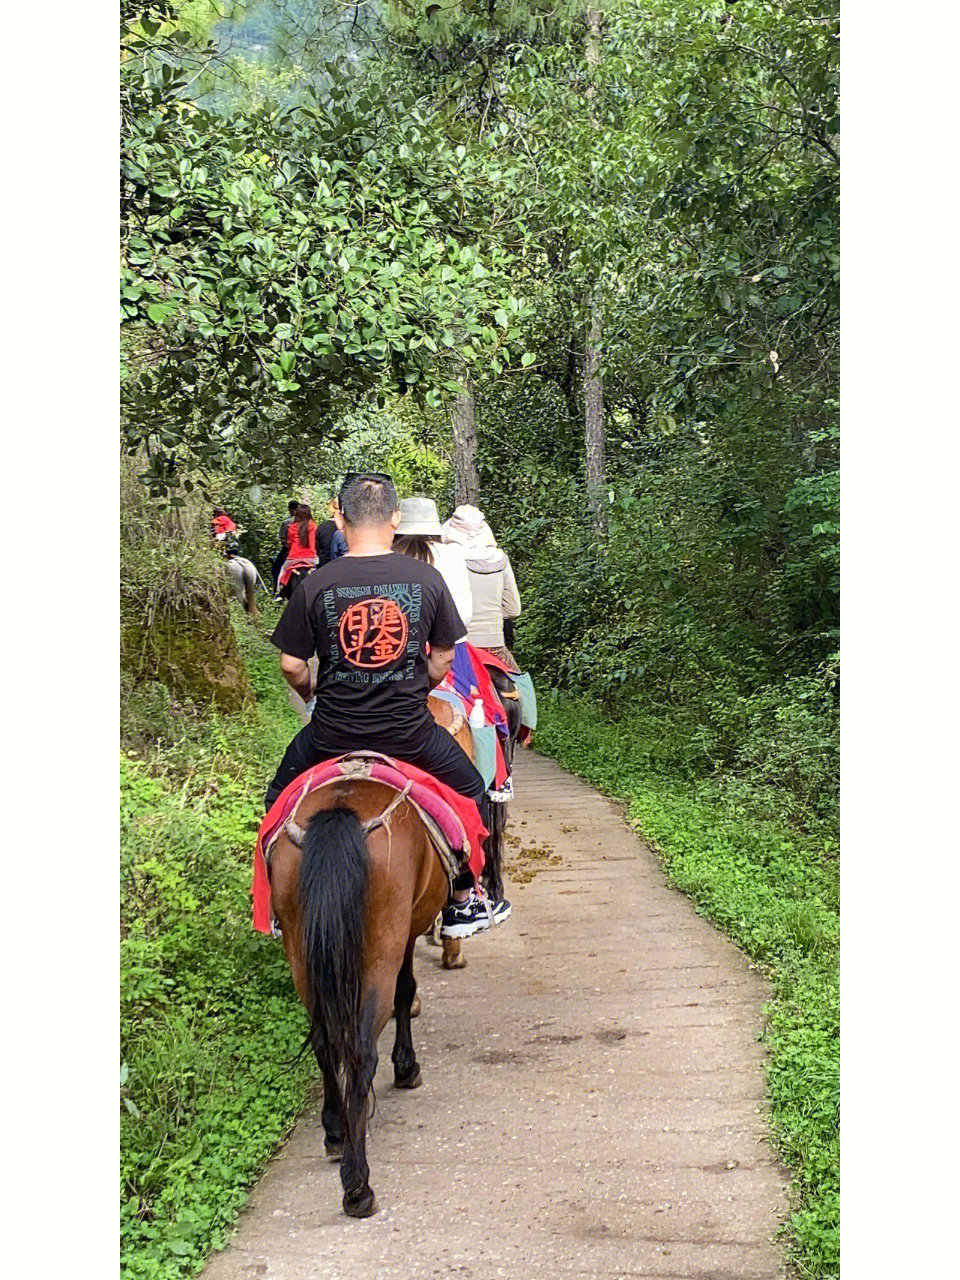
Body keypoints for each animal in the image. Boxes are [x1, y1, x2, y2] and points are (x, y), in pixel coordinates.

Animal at [268, 701, 476, 1218]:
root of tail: (343, 808)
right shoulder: (406, 931)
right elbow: (407, 992)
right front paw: (407, 1067)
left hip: (301, 950)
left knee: (325, 1042)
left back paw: (335, 1133)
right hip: (380, 945)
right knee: (361, 1049)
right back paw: (358, 1185)